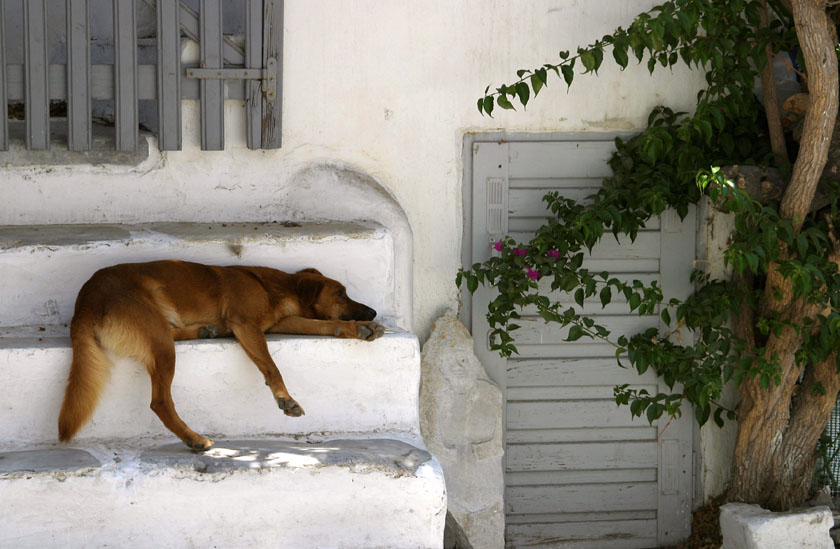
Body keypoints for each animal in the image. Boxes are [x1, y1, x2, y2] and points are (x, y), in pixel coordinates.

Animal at [57, 260, 386, 450]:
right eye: (341, 293)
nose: (372, 312)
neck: (274, 286)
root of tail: (85, 302)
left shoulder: (282, 322)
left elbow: (326, 324)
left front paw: (360, 328)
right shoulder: (246, 324)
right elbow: (271, 366)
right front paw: (285, 397)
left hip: (159, 328)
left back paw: (205, 330)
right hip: (159, 341)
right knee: (159, 401)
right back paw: (193, 438)